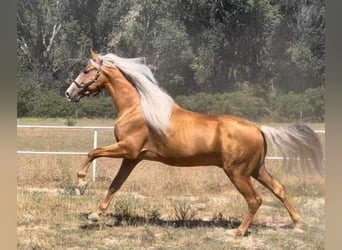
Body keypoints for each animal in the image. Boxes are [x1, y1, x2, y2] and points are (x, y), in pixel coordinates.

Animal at [65, 50, 324, 236]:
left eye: (86, 70)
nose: (69, 93)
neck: (137, 108)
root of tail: (259, 128)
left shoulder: (127, 149)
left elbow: (92, 152)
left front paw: (81, 185)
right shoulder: (132, 158)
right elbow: (115, 185)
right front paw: (95, 214)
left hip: (238, 172)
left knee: (255, 199)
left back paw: (238, 232)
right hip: (257, 169)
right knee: (279, 189)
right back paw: (297, 224)